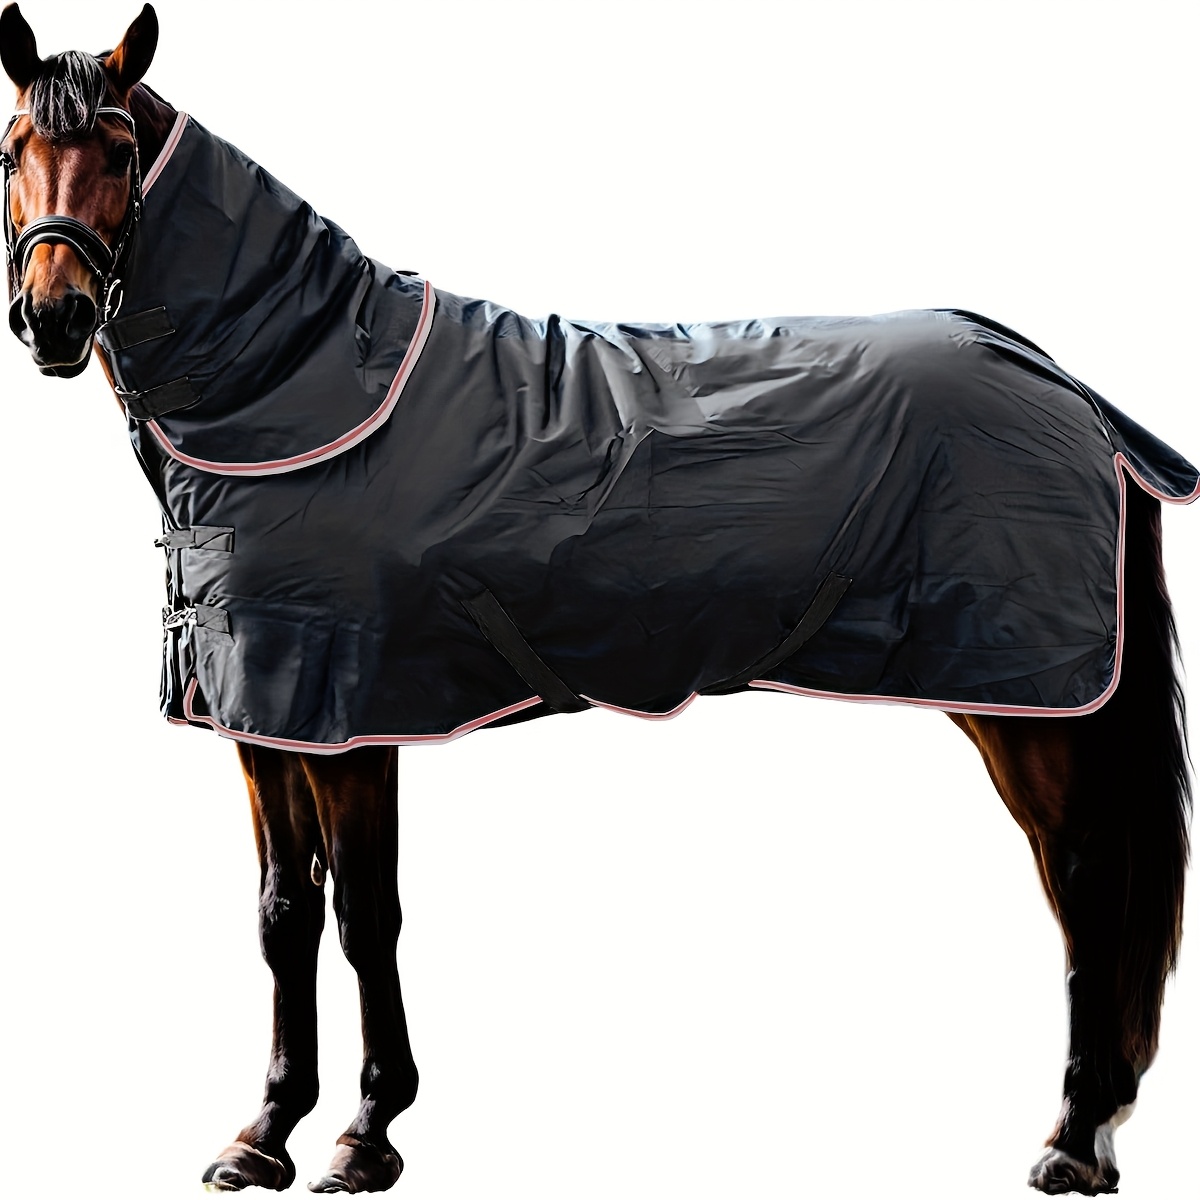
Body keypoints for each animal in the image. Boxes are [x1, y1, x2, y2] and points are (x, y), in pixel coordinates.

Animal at [2, 4, 1194, 1195]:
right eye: (14, 150)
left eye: (120, 151)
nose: (54, 317)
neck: (303, 392)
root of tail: (1067, 386)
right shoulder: (264, 719)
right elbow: (285, 916)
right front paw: (263, 1133)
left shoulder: (349, 717)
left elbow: (367, 917)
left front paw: (367, 1132)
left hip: (1029, 705)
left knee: (1087, 882)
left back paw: (1073, 1138)